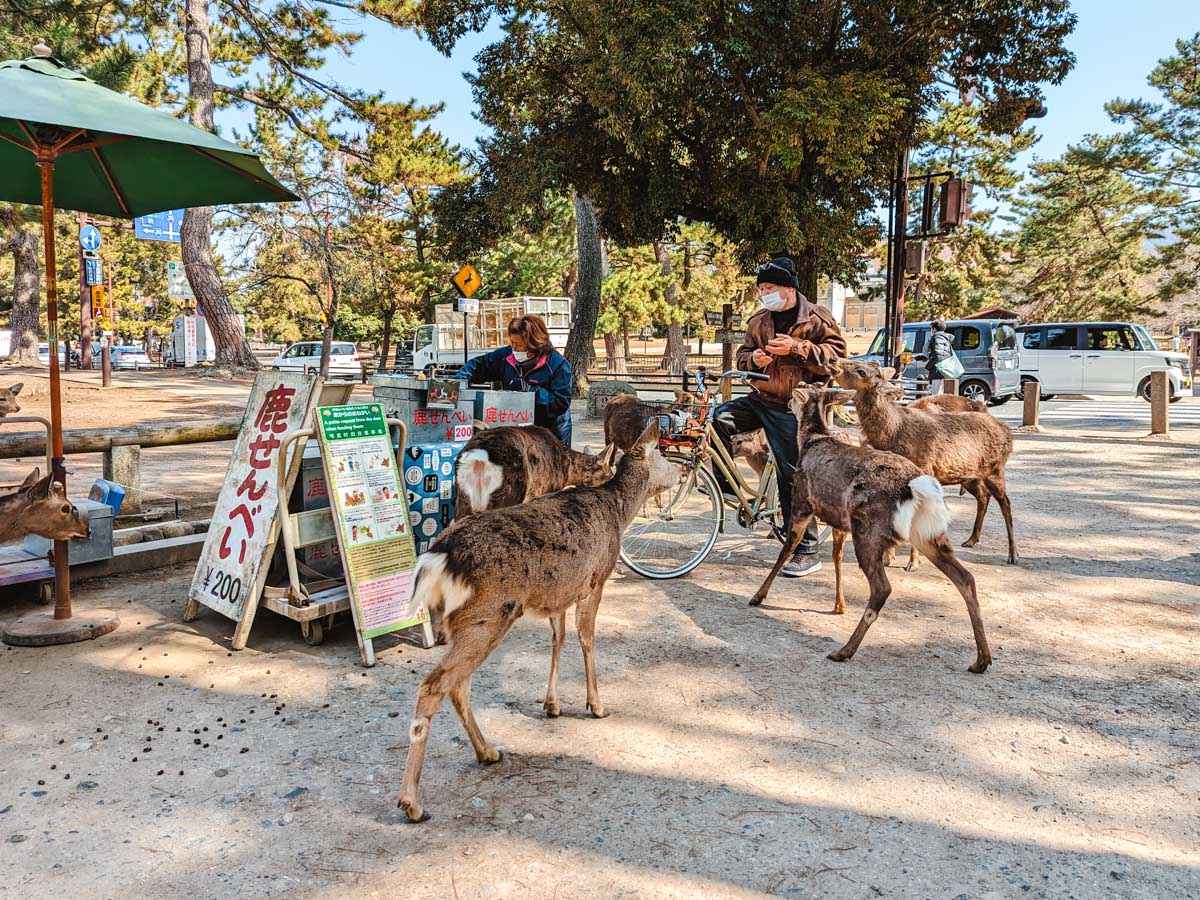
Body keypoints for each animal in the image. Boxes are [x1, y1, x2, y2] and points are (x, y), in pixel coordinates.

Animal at [398, 422, 681, 825]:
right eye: (662, 454)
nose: (682, 473)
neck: (617, 512)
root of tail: (436, 560)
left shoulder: (561, 592)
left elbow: (558, 637)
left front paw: (552, 704)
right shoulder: (596, 579)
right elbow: (587, 638)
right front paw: (596, 705)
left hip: (470, 621)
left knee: (458, 686)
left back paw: (488, 752)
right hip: (488, 615)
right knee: (435, 685)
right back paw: (412, 803)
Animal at [748, 388, 993, 676]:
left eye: (801, 391)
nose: (786, 399)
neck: (809, 441)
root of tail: (915, 487)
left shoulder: (803, 503)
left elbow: (786, 549)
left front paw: (758, 596)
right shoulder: (839, 521)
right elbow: (836, 558)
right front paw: (838, 605)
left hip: (868, 531)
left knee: (882, 588)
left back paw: (844, 650)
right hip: (930, 535)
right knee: (966, 578)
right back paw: (981, 659)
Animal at [835, 362, 1022, 566]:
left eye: (861, 371)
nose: (835, 363)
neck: (893, 434)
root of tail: (1007, 432)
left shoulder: (923, 470)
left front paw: (913, 562)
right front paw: (888, 556)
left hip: (996, 470)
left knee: (1006, 504)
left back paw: (1013, 554)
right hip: (971, 476)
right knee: (983, 496)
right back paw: (972, 539)